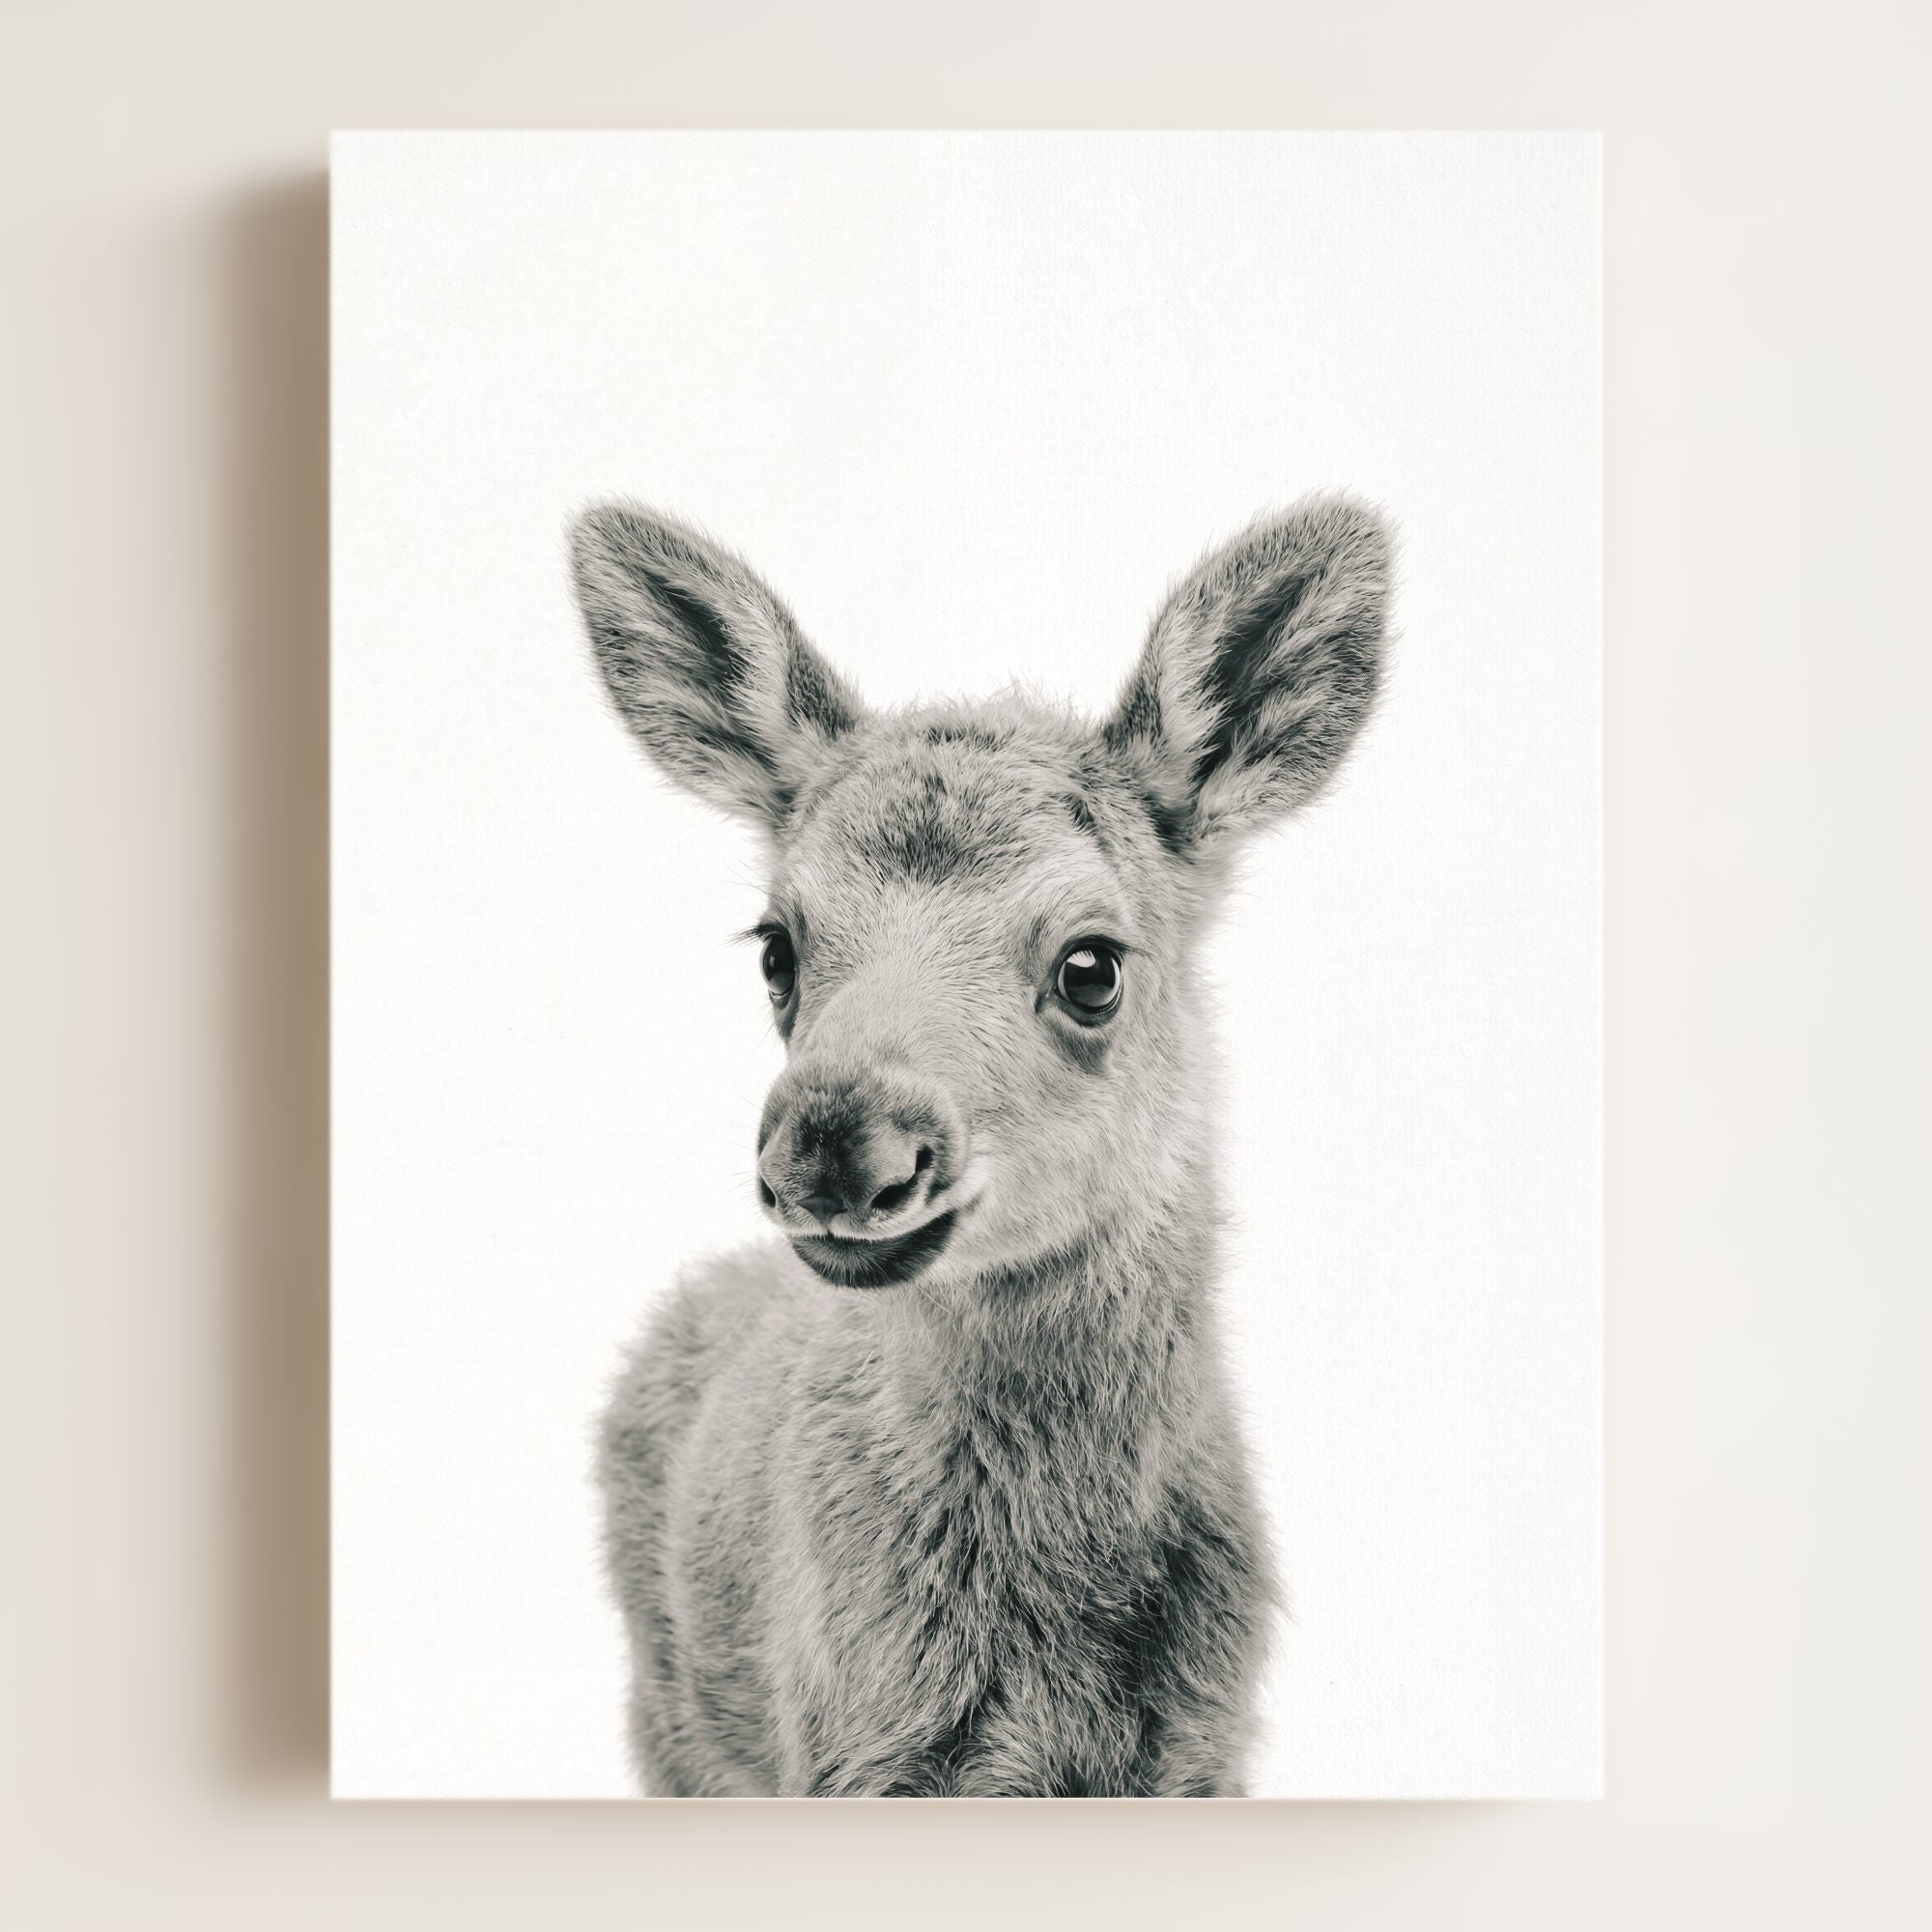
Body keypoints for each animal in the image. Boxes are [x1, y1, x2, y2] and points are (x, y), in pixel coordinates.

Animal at [569, 492, 1394, 1796]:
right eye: (777, 947)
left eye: (1091, 964)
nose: (834, 1144)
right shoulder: (848, 1750)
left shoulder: (1204, 1749)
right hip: (672, 1719)